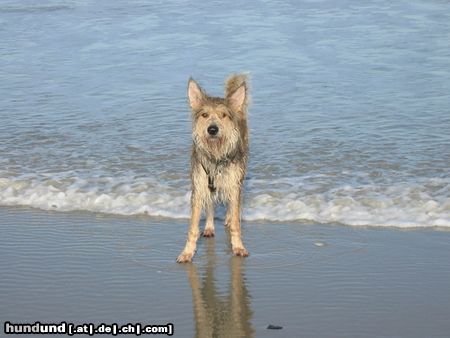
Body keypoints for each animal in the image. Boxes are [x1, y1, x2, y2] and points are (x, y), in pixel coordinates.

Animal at [177, 74, 250, 264]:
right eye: (204, 115)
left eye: (223, 115)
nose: (212, 129)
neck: (215, 156)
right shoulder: (198, 186)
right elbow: (193, 226)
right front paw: (187, 252)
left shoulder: (233, 184)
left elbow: (236, 222)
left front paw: (238, 246)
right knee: (210, 203)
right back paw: (209, 227)